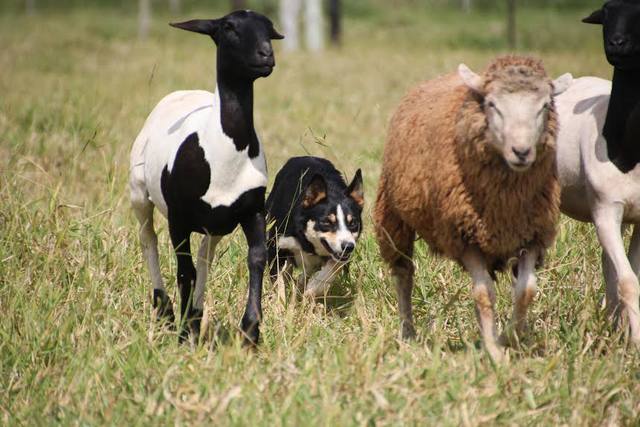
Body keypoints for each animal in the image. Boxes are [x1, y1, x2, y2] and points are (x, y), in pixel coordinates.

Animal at [266, 156, 364, 298]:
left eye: (353, 223)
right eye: (326, 222)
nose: (348, 246)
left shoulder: (339, 256)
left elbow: (332, 269)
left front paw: (312, 289)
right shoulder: (276, 247)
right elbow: (279, 281)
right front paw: (281, 302)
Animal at [372, 54, 572, 362]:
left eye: (545, 105)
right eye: (492, 104)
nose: (522, 152)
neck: (504, 205)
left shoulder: (532, 235)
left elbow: (525, 291)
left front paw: (509, 338)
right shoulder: (464, 237)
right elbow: (483, 295)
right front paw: (495, 351)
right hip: (392, 216)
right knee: (403, 273)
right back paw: (407, 333)